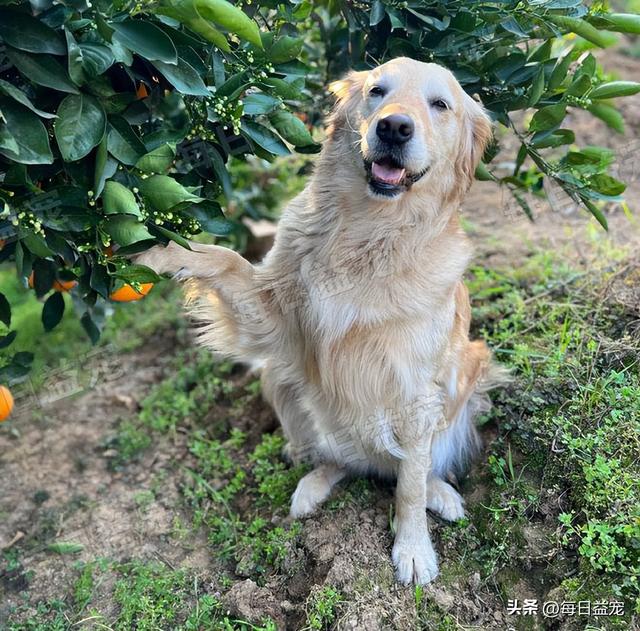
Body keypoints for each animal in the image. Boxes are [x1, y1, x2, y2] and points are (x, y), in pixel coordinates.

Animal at [139, 56, 504, 584]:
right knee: (339, 460)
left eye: (440, 104)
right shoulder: (272, 317)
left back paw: (442, 494)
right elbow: (225, 259)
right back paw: (312, 486)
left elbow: (411, 484)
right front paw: (161, 251)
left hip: (468, 369)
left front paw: (413, 547)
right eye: (377, 91)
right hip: (279, 379)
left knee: (415, 468)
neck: (370, 234)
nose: (394, 127)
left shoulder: (416, 390)